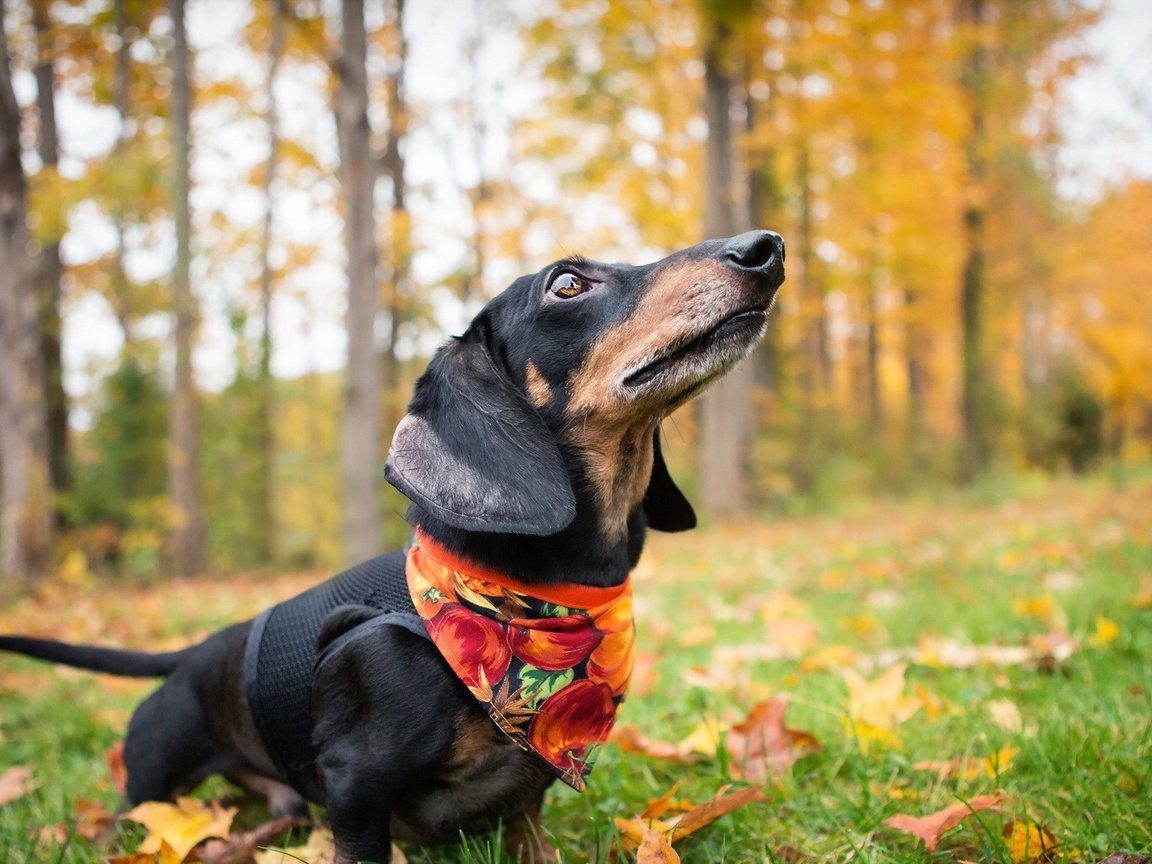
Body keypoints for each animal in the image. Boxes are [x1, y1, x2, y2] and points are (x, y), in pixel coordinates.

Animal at [0, 231, 783, 864]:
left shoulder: (528, 797)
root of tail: (194, 653)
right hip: (151, 785)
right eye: (567, 284)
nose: (765, 247)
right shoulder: (355, 788)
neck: (529, 597)